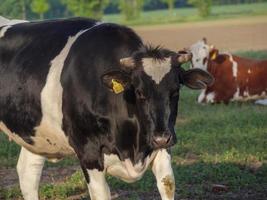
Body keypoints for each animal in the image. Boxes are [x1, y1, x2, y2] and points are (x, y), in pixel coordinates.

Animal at [0, 17, 214, 200]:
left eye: (176, 90)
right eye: (139, 92)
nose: (161, 138)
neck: (132, 148)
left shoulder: (161, 146)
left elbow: (167, 184)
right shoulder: (88, 152)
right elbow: (101, 194)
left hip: (36, 134)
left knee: (28, 174)